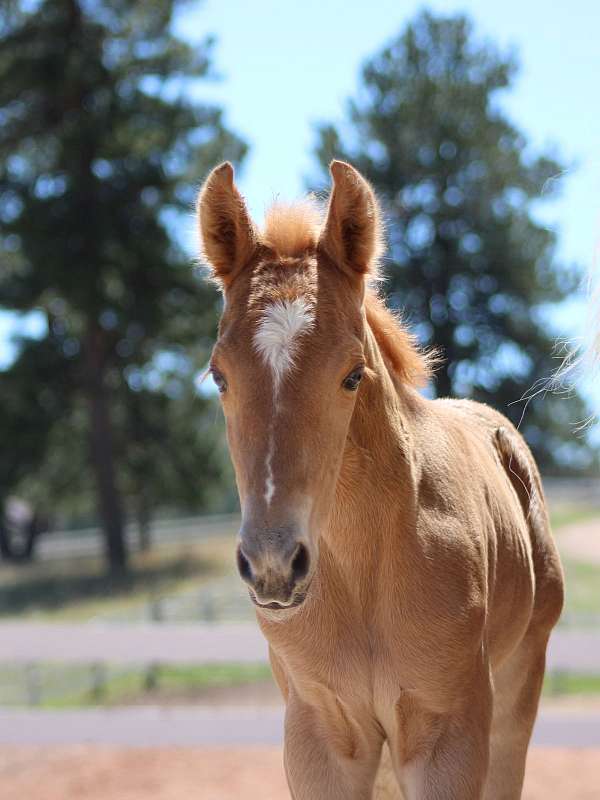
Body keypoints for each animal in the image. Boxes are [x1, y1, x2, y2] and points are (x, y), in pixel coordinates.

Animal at [197, 160, 564, 799]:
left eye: (352, 375)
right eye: (219, 375)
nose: (273, 564)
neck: (363, 575)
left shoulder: (448, 735)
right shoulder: (320, 737)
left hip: (518, 694)